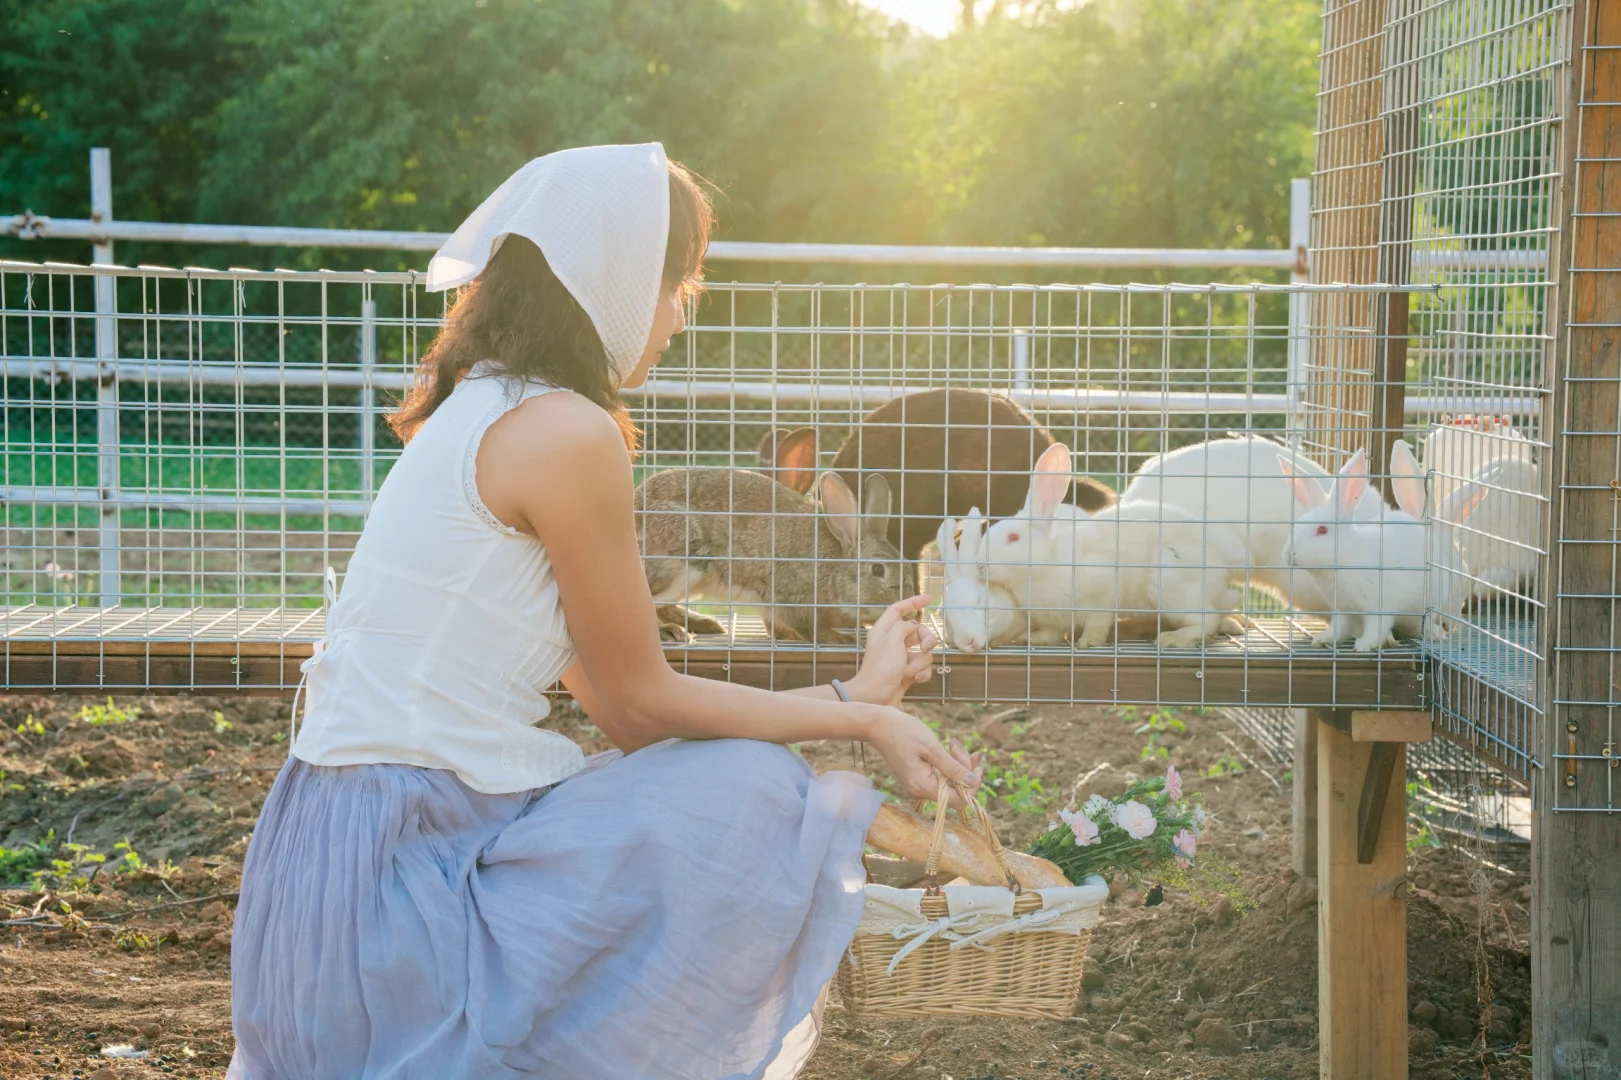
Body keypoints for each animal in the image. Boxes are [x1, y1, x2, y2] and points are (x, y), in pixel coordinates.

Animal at [635, 463, 914, 638]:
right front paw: (836, 638)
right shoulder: (785, 594)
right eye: (877, 569)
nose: (912, 612)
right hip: (683, 561)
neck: (834, 565)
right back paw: (670, 632)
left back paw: (707, 624)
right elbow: (805, 625)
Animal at [979, 441, 1244, 642]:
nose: (980, 565)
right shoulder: (1055, 618)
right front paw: (1029, 638)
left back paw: (1173, 639)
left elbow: (1097, 624)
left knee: (1207, 620)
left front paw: (1088, 642)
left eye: (1013, 538)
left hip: (1172, 588)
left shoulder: (1101, 596)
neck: (1046, 563)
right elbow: (1052, 633)